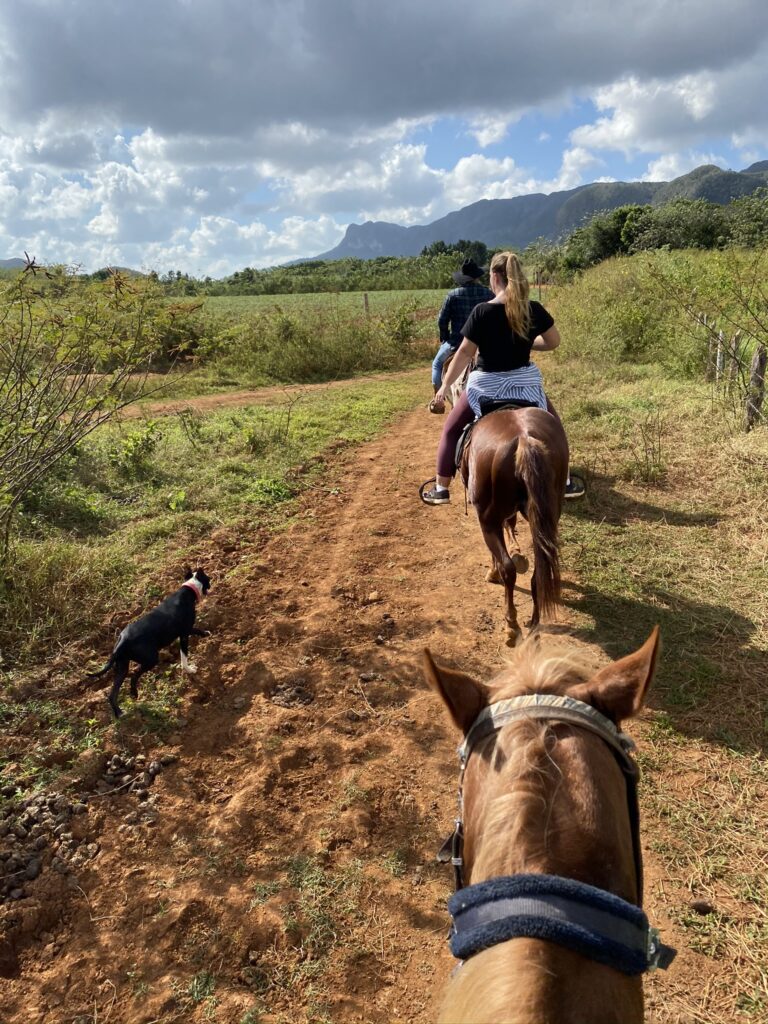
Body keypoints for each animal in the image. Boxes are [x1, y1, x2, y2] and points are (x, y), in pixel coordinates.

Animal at [88, 569, 210, 720]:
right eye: (208, 578)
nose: (211, 583)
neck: (188, 590)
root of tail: (123, 640)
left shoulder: (187, 630)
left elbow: (197, 630)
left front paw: (206, 633)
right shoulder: (184, 634)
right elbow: (184, 656)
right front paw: (189, 669)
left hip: (122, 666)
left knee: (113, 694)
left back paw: (120, 713)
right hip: (151, 659)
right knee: (134, 676)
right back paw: (133, 694)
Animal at [460, 403, 569, 643]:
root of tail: (525, 439)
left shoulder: (489, 519)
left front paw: (492, 572)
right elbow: (511, 523)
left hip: (488, 520)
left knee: (507, 569)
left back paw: (511, 624)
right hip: (545, 515)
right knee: (539, 571)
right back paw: (534, 623)